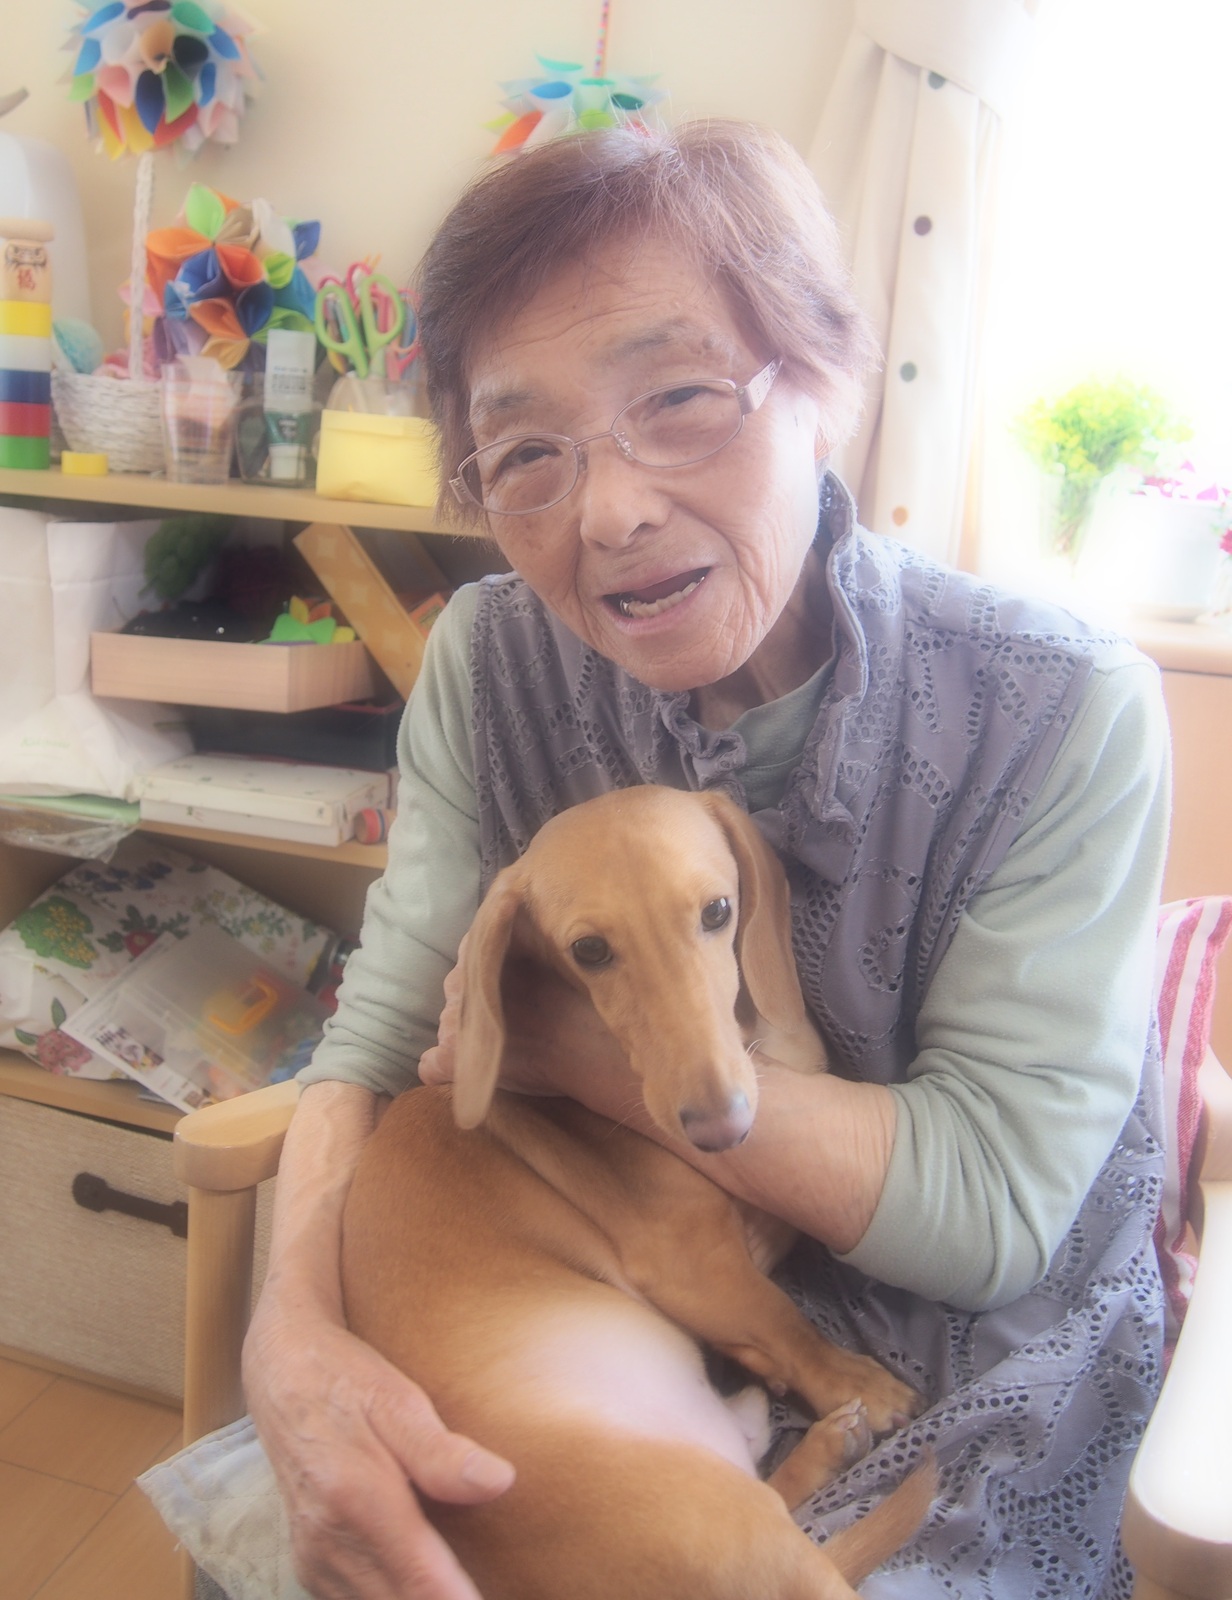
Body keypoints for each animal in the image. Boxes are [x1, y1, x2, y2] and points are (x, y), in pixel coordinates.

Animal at [341, 786, 932, 1599]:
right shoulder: (689, 1262)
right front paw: (855, 1381)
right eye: (589, 951)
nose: (722, 1129)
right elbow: (781, 1320)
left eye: (718, 911)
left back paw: (820, 1441)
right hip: (726, 1525)